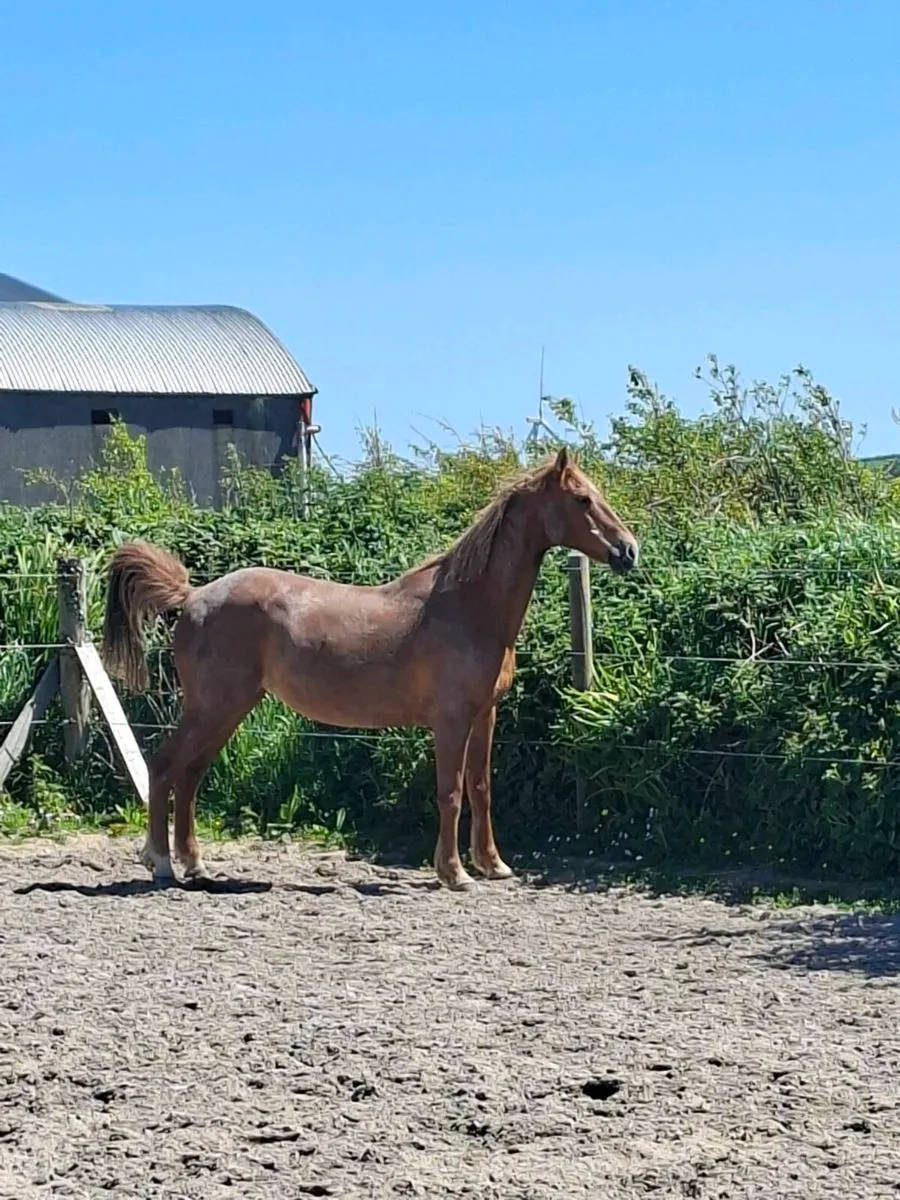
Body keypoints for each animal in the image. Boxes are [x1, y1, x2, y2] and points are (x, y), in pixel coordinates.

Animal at [101, 447, 638, 890]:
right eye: (582, 499)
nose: (628, 550)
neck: (468, 606)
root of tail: (193, 596)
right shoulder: (451, 720)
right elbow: (451, 792)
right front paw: (455, 874)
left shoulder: (484, 714)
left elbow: (482, 788)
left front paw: (493, 865)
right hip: (212, 708)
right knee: (165, 768)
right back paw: (162, 865)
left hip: (227, 710)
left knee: (190, 776)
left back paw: (194, 864)